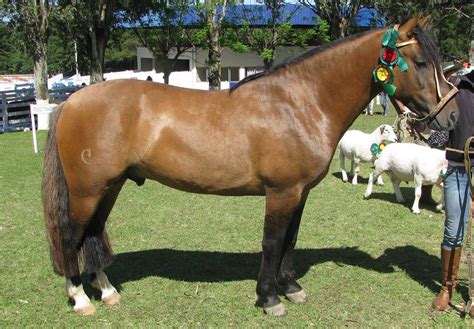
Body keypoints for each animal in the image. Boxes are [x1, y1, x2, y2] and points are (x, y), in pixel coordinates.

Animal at [42, 17, 458, 316]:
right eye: (421, 62)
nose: (451, 116)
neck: (299, 103)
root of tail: (73, 100)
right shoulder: (281, 192)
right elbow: (272, 242)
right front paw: (269, 298)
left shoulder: (299, 193)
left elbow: (290, 240)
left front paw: (291, 289)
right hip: (87, 191)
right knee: (70, 237)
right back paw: (80, 298)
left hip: (109, 188)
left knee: (92, 234)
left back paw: (107, 292)